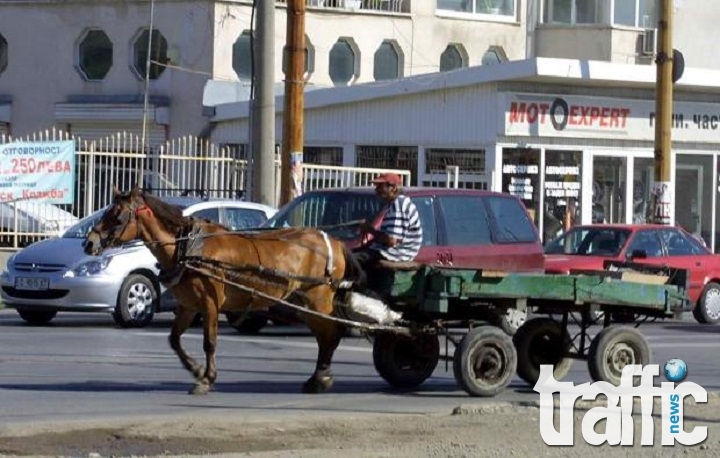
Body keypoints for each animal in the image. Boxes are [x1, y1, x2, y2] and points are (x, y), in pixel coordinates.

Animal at [84, 186, 366, 394]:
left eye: (118, 216)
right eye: (106, 212)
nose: (90, 243)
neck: (188, 246)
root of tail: (334, 241)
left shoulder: (209, 303)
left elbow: (210, 341)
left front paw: (206, 378)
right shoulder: (188, 306)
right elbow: (174, 339)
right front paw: (196, 370)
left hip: (318, 300)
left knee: (331, 334)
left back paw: (321, 378)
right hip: (303, 303)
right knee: (325, 336)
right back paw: (318, 378)